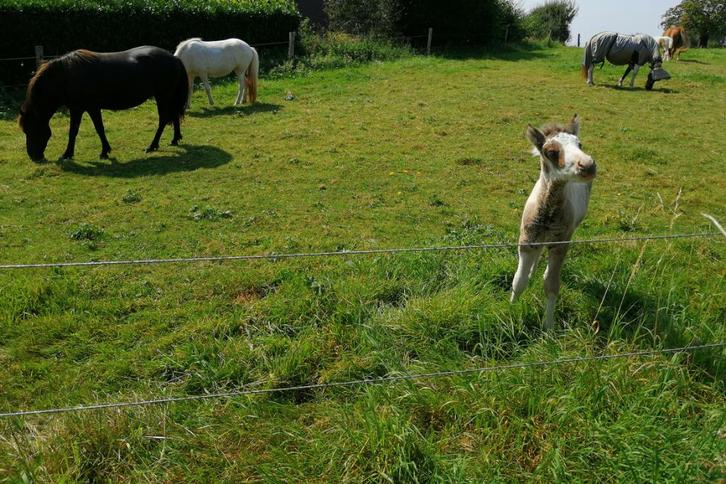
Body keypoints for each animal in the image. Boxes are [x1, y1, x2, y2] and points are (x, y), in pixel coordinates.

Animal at [18, 46, 188, 162]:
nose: (34, 156)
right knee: (174, 115)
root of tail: (174, 58)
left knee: (164, 119)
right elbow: (89, 129)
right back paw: (175, 139)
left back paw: (152, 145)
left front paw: (69, 154)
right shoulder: (84, 108)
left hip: (162, 96)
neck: (66, 76)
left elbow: (83, 130)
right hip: (168, 96)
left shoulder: (84, 108)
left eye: (30, 130)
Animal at [510, 114, 596, 329]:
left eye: (579, 144)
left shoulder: (560, 243)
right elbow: (518, 281)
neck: (548, 213)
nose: (588, 165)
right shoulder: (526, 240)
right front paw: (510, 310)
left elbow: (551, 285)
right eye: (550, 152)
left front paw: (548, 327)